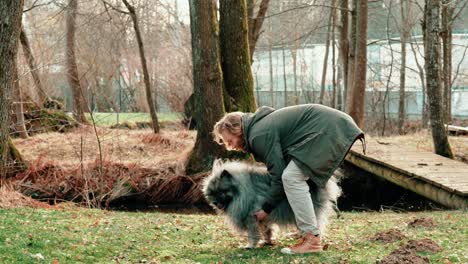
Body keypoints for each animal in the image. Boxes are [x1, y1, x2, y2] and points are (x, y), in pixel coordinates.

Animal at [201, 160, 340, 249]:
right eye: (212, 193)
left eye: (222, 191)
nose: (215, 202)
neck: (243, 189)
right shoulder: (262, 216)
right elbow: (267, 230)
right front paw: (267, 241)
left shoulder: (251, 217)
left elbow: (253, 234)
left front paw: (250, 245)